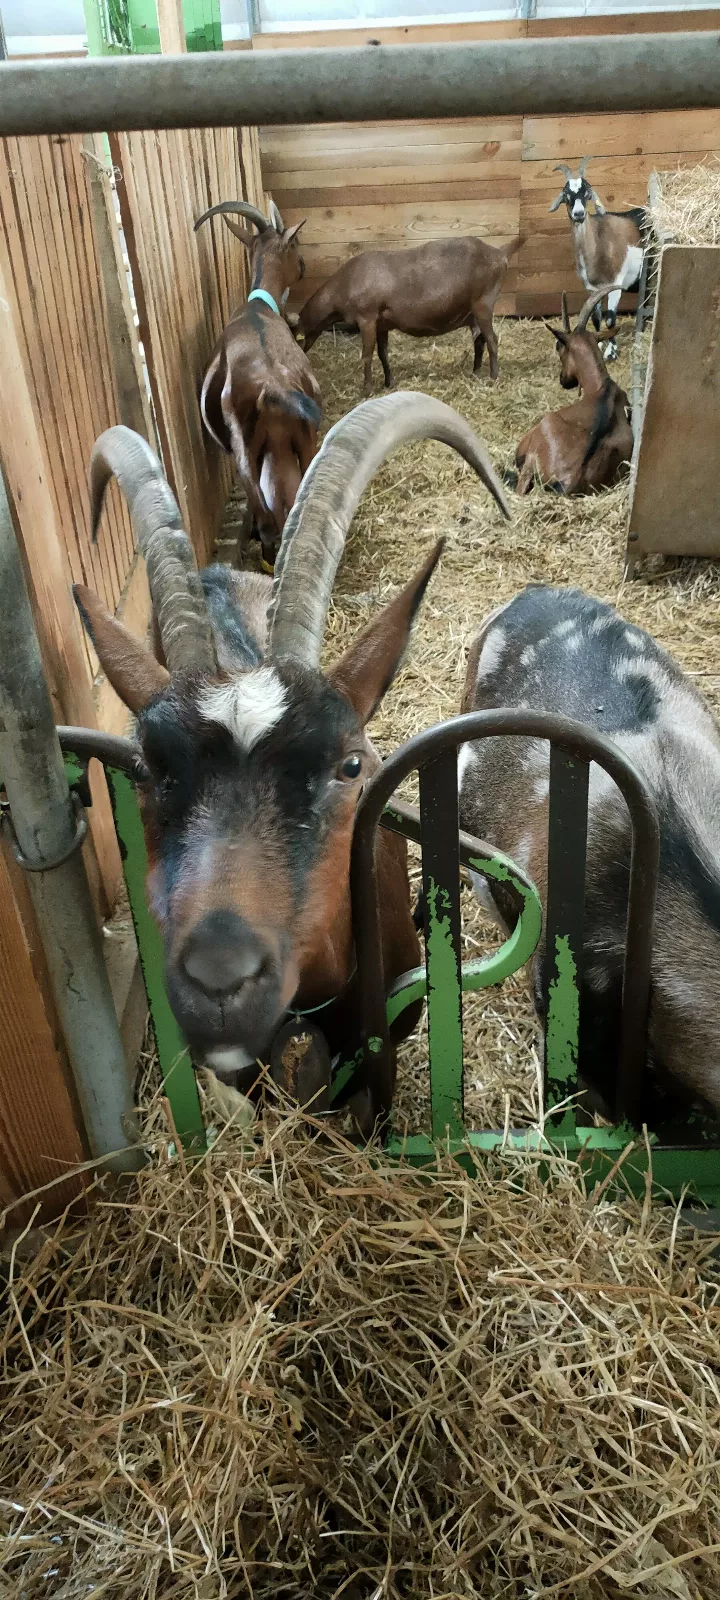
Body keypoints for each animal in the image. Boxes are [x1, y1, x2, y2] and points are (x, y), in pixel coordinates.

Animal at [196, 199, 322, 572]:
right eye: (295, 245)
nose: (303, 266)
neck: (259, 304)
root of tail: (272, 388)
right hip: (297, 442)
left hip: (249, 452)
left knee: (270, 514)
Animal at [297, 234, 524, 396]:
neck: (343, 287)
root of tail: (499, 253)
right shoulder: (382, 324)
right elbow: (383, 354)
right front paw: (388, 383)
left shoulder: (367, 318)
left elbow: (367, 356)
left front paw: (366, 391)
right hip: (472, 313)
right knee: (479, 340)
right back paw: (475, 373)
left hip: (483, 303)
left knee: (492, 340)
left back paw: (493, 377)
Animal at [549, 158, 645, 360]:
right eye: (566, 194)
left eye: (587, 192)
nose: (579, 214)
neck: (601, 241)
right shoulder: (591, 289)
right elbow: (595, 318)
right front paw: (599, 344)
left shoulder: (615, 285)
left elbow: (610, 319)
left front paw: (611, 352)